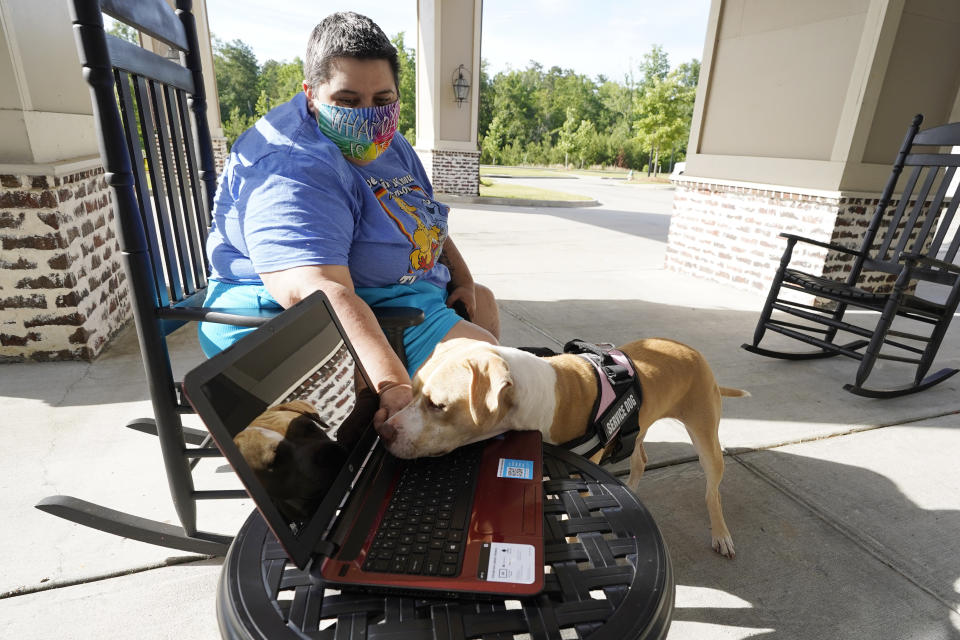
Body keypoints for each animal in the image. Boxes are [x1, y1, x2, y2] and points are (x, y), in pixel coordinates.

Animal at [376, 338, 752, 556]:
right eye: (412, 389)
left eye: (438, 405)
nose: (384, 430)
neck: (538, 397)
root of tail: (692, 350)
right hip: (640, 425)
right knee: (640, 458)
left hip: (707, 439)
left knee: (712, 491)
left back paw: (721, 534)